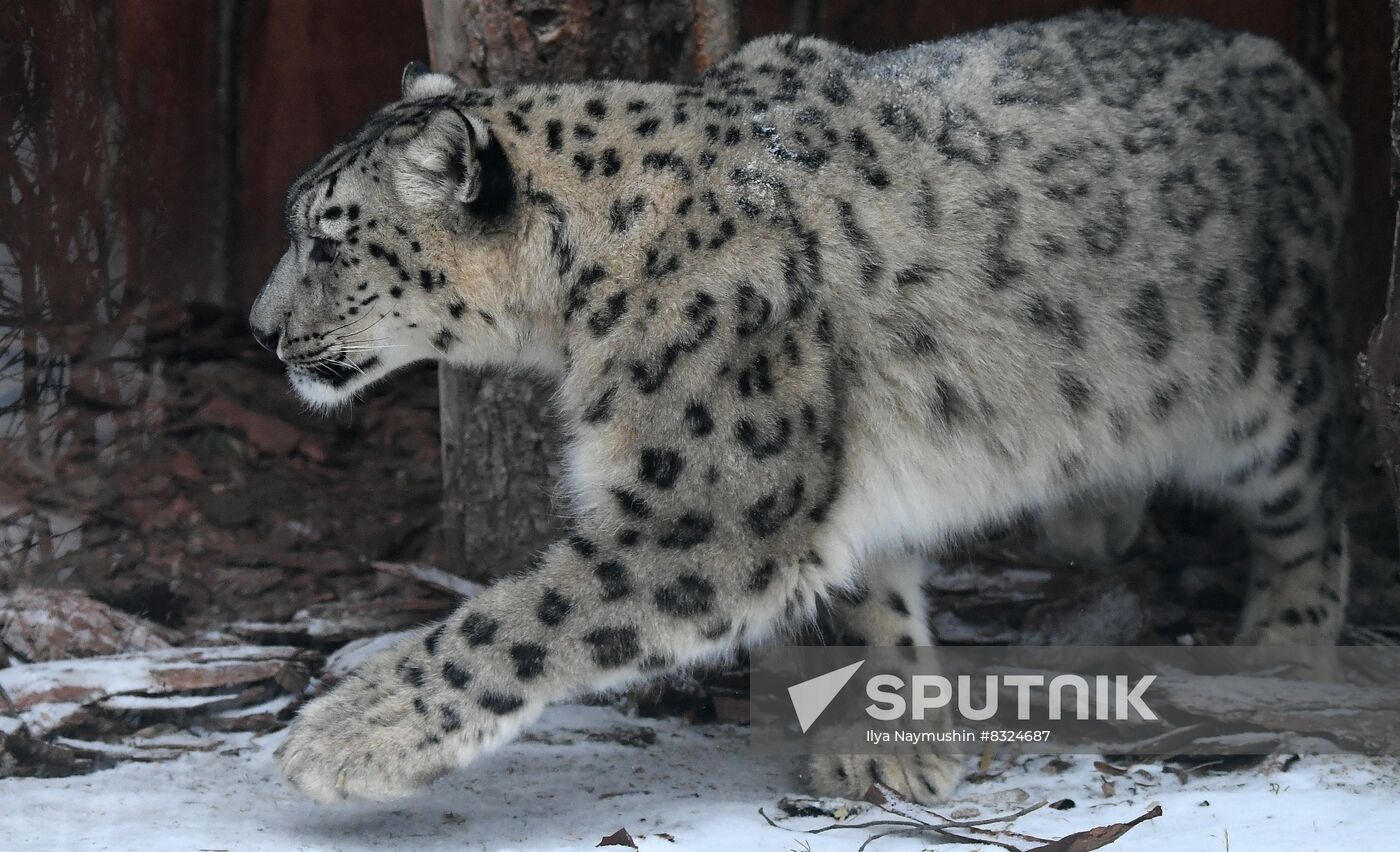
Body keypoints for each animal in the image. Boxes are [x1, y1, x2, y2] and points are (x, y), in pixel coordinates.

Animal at [248, 11, 1353, 805]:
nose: (259, 330)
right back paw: (1092, 511)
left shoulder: (709, 508)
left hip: (1263, 391)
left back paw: (1287, 640)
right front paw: (883, 743)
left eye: (327, 239)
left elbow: (518, 620)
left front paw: (349, 736)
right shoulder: (836, 479)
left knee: (1313, 502)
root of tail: (1292, 74)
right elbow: (868, 597)